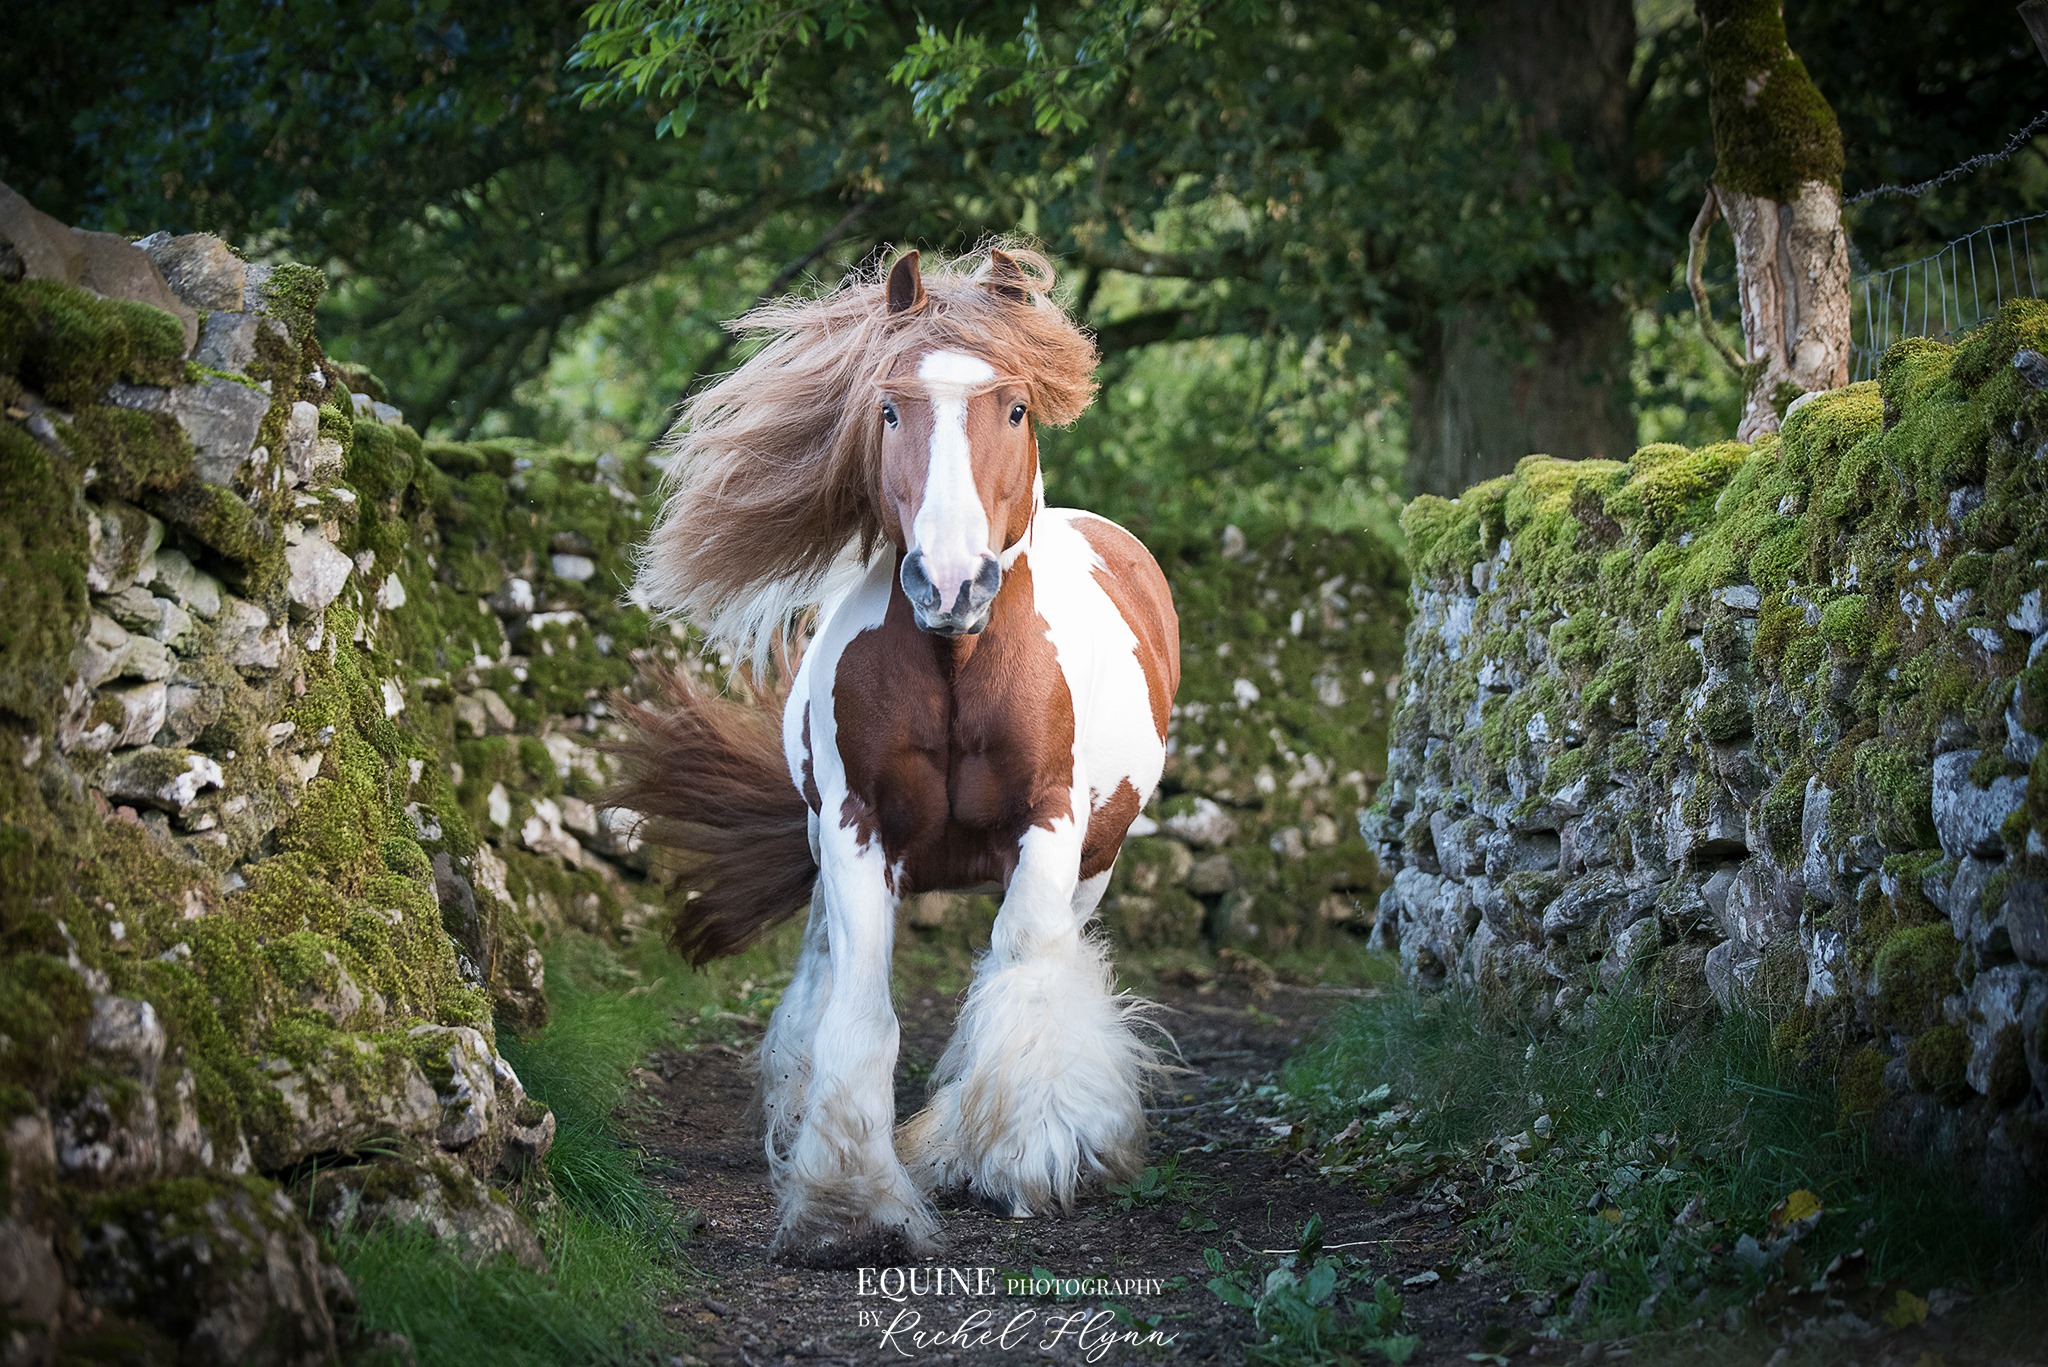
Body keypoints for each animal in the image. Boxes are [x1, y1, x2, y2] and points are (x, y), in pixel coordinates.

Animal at [614, 245, 1179, 1270]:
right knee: (820, 966)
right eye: (886, 408)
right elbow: (859, 1009)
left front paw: (1023, 1156)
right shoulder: (855, 826)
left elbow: (1019, 972)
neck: (957, 666)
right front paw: (850, 1203)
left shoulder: (1050, 827)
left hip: (1097, 860)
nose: (950, 583)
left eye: (1015, 407)